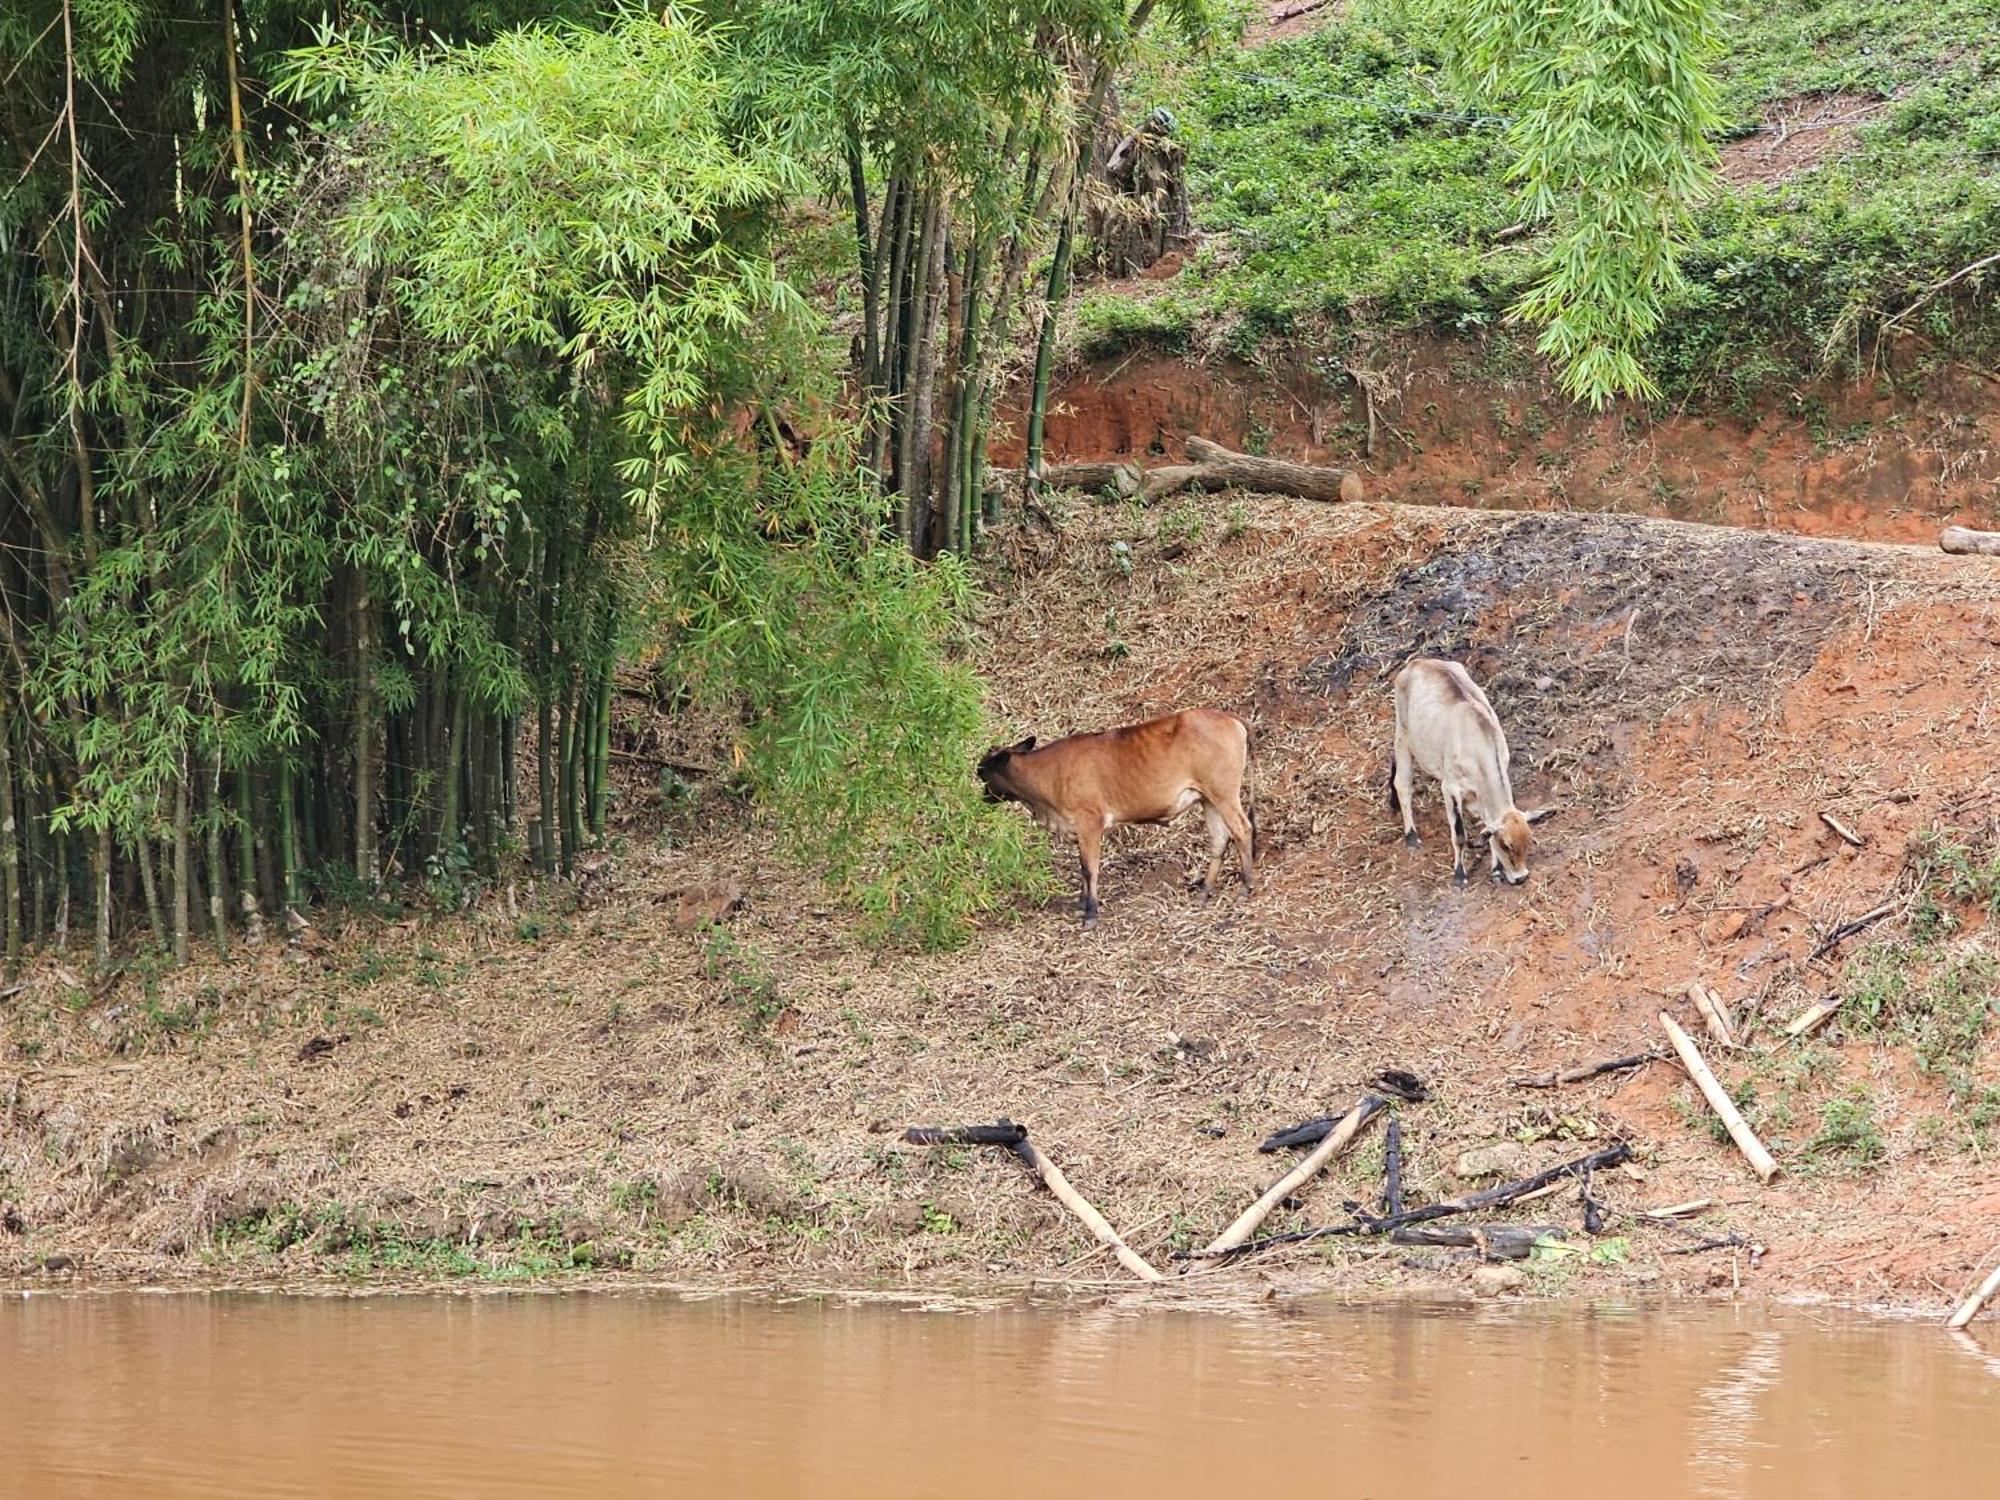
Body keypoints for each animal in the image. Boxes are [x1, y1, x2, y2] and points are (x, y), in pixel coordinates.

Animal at [980, 704, 1256, 928]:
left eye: (984, 772)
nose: (982, 797)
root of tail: (1227, 716)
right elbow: (1082, 866)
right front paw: (1082, 904)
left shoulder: (1089, 823)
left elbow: (1089, 868)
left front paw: (1091, 913)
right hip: (1208, 799)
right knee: (1219, 839)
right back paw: (1205, 891)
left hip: (1224, 793)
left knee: (1242, 829)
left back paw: (1245, 887)